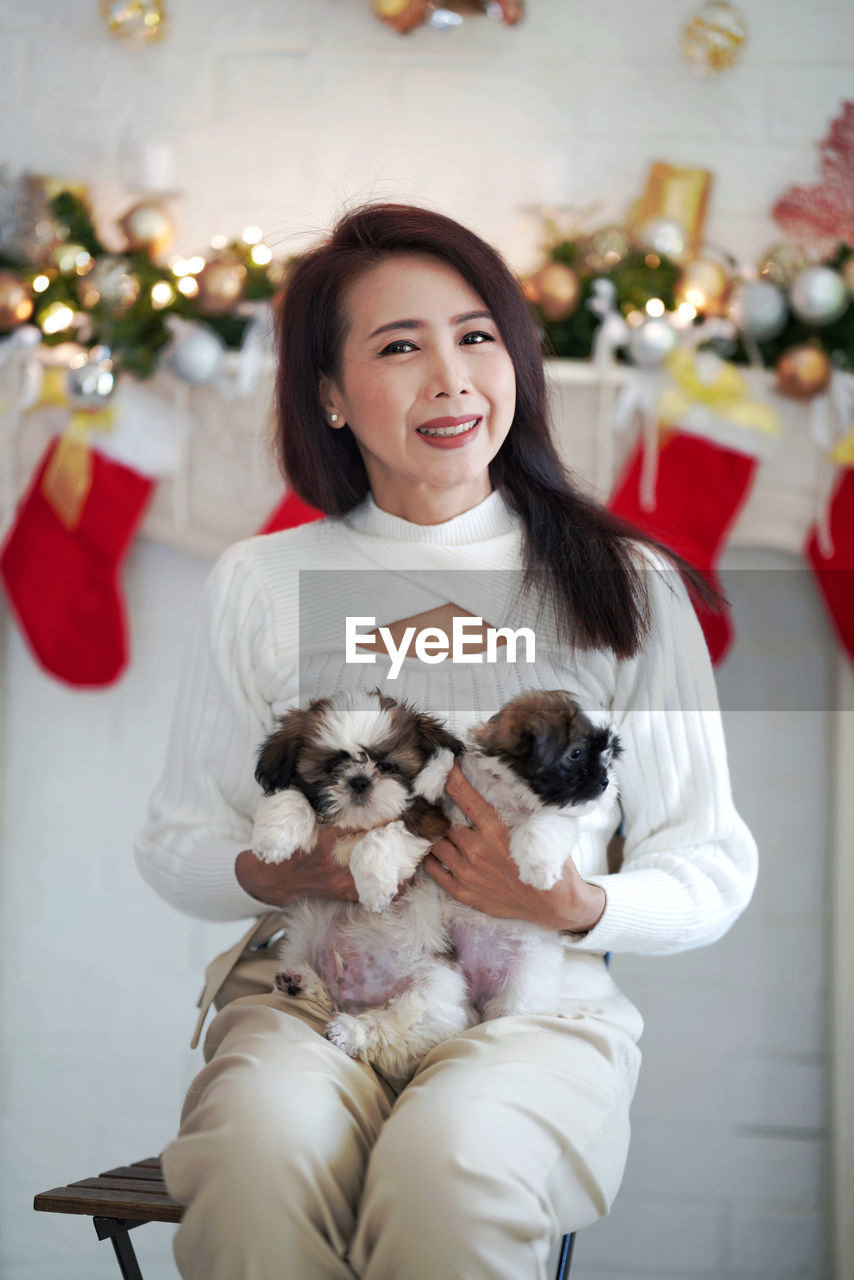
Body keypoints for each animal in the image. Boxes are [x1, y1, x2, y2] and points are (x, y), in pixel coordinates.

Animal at [248, 691, 473, 1080]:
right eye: (330, 768)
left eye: (387, 766)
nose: (359, 781)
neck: (358, 825)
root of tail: (354, 997)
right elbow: (295, 798)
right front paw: (273, 835)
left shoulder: (432, 822)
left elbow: (387, 835)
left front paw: (374, 882)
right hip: (305, 934)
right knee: (325, 991)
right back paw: (299, 982)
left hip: (434, 990)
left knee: (393, 1025)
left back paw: (350, 1031)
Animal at [440, 691, 622, 1018]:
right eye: (577, 754)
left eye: (608, 756)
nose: (605, 782)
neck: (514, 791)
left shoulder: (560, 818)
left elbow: (542, 824)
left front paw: (539, 868)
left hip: (521, 986)